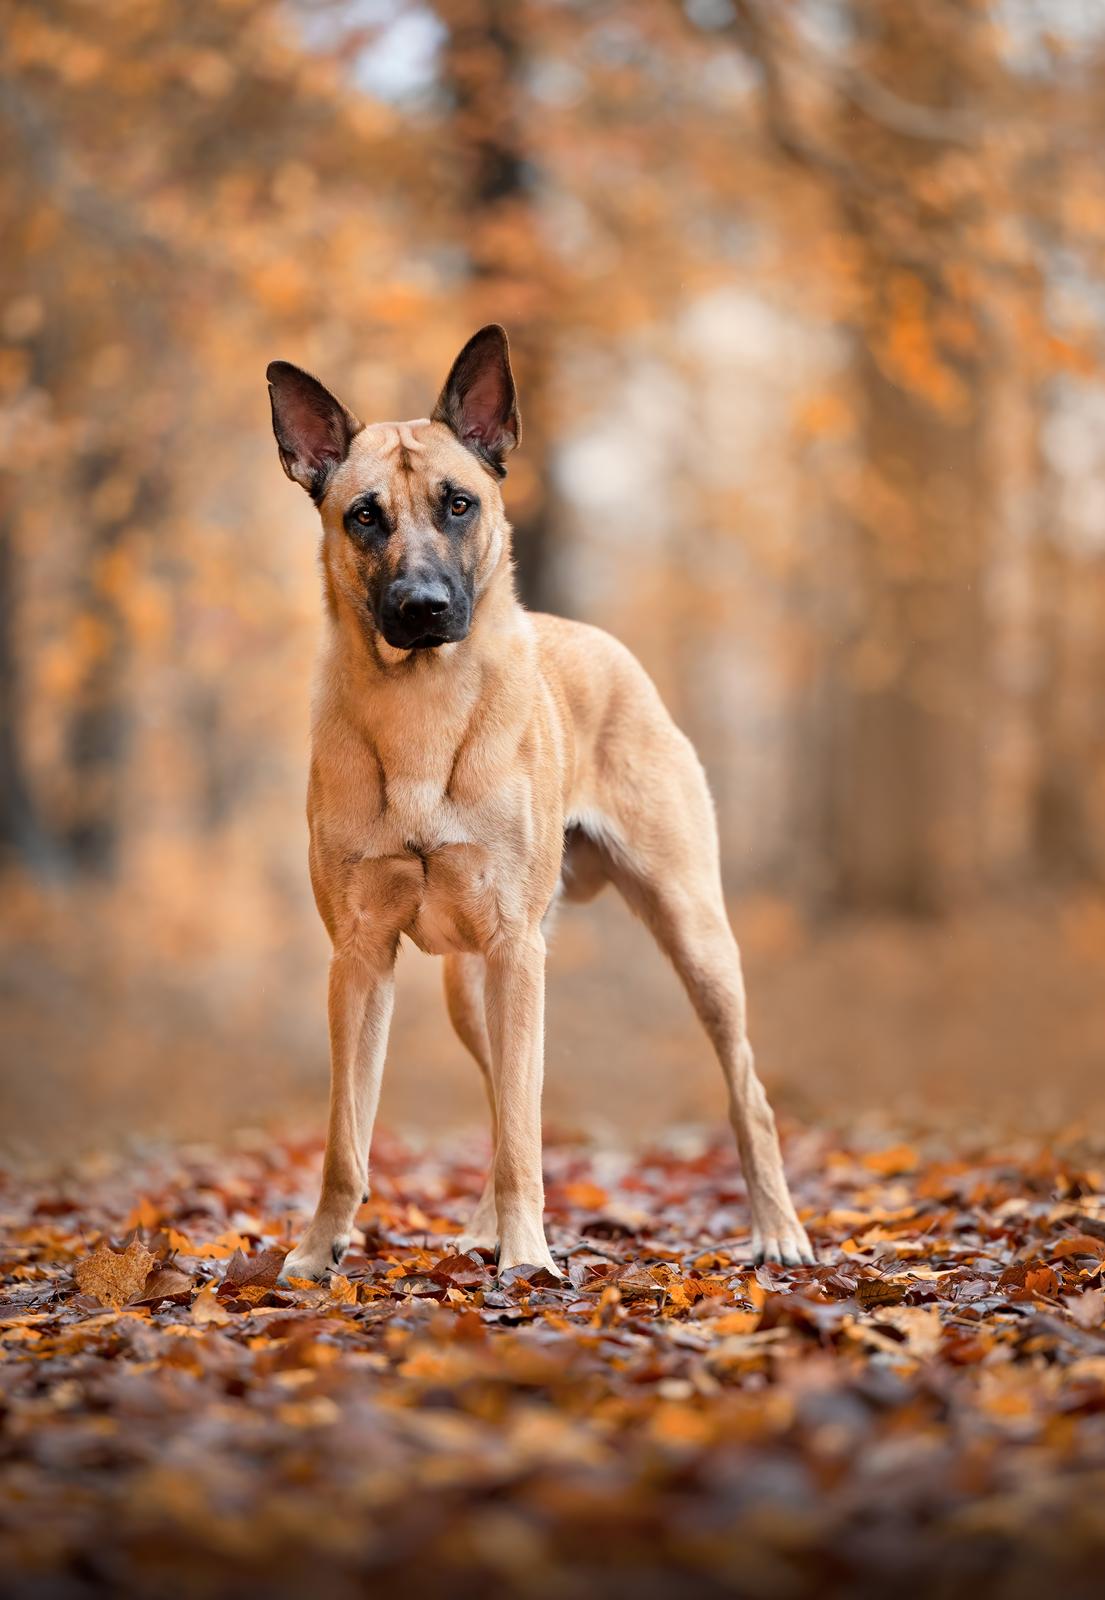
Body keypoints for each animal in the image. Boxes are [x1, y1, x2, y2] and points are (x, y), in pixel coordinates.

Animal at [262, 328, 809, 1286]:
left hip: (690, 936)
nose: (423, 608)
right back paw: (482, 1227)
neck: (421, 713)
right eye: (362, 515)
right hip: (470, 988)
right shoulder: (358, 962)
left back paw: (776, 1231)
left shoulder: (516, 951)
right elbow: (346, 1140)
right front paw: (318, 1251)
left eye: (459, 504)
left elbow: (521, 1129)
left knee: (744, 1091)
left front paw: (527, 1254)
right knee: (499, 1100)